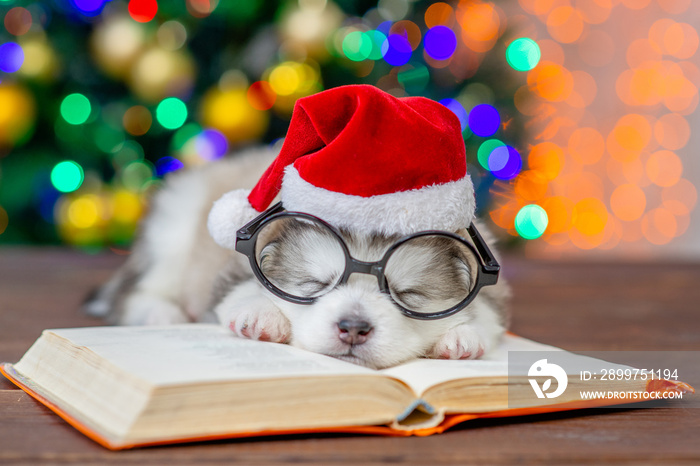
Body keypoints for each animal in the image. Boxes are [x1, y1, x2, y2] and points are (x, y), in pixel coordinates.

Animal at [86, 147, 508, 370]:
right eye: (315, 284)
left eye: (408, 295)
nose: (353, 327)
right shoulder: (236, 269)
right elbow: (242, 293)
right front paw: (260, 317)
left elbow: (488, 316)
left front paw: (462, 338)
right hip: (173, 229)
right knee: (135, 292)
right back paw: (163, 313)